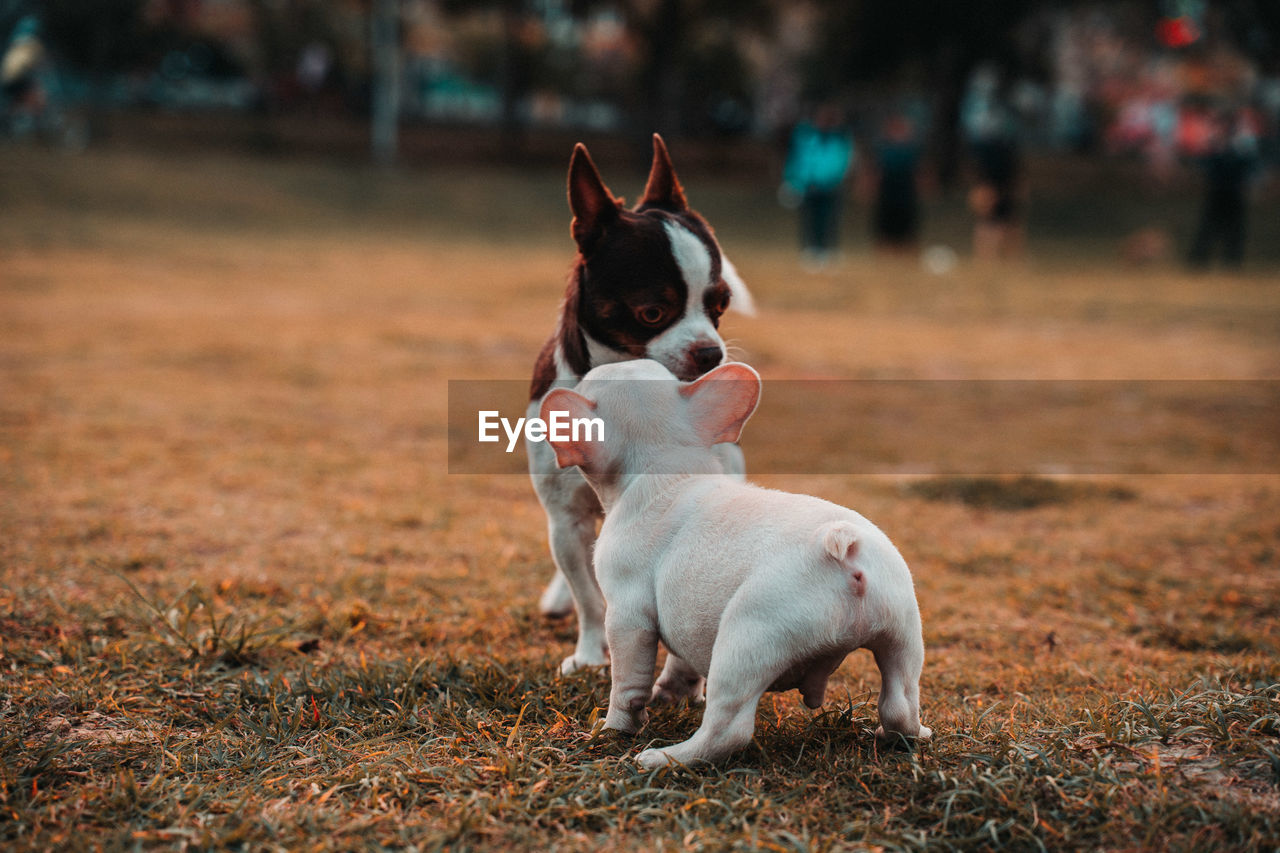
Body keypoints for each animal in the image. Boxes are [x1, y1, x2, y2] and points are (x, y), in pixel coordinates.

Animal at [527, 134, 752, 671]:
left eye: (720, 305)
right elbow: (589, 597)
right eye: (653, 312)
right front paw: (590, 654)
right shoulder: (566, 520)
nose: (711, 353)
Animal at [540, 356, 931, 768]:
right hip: (902, 630)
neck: (669, 466)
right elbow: (681, 661)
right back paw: (906, 733)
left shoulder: (627, 614)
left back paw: (665, 758)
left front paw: (612, 729)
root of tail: (844, 548)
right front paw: (673, 694)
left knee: (728, 728)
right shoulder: (687, 617)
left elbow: (628, 683)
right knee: (900, 702)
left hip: (748, 637)